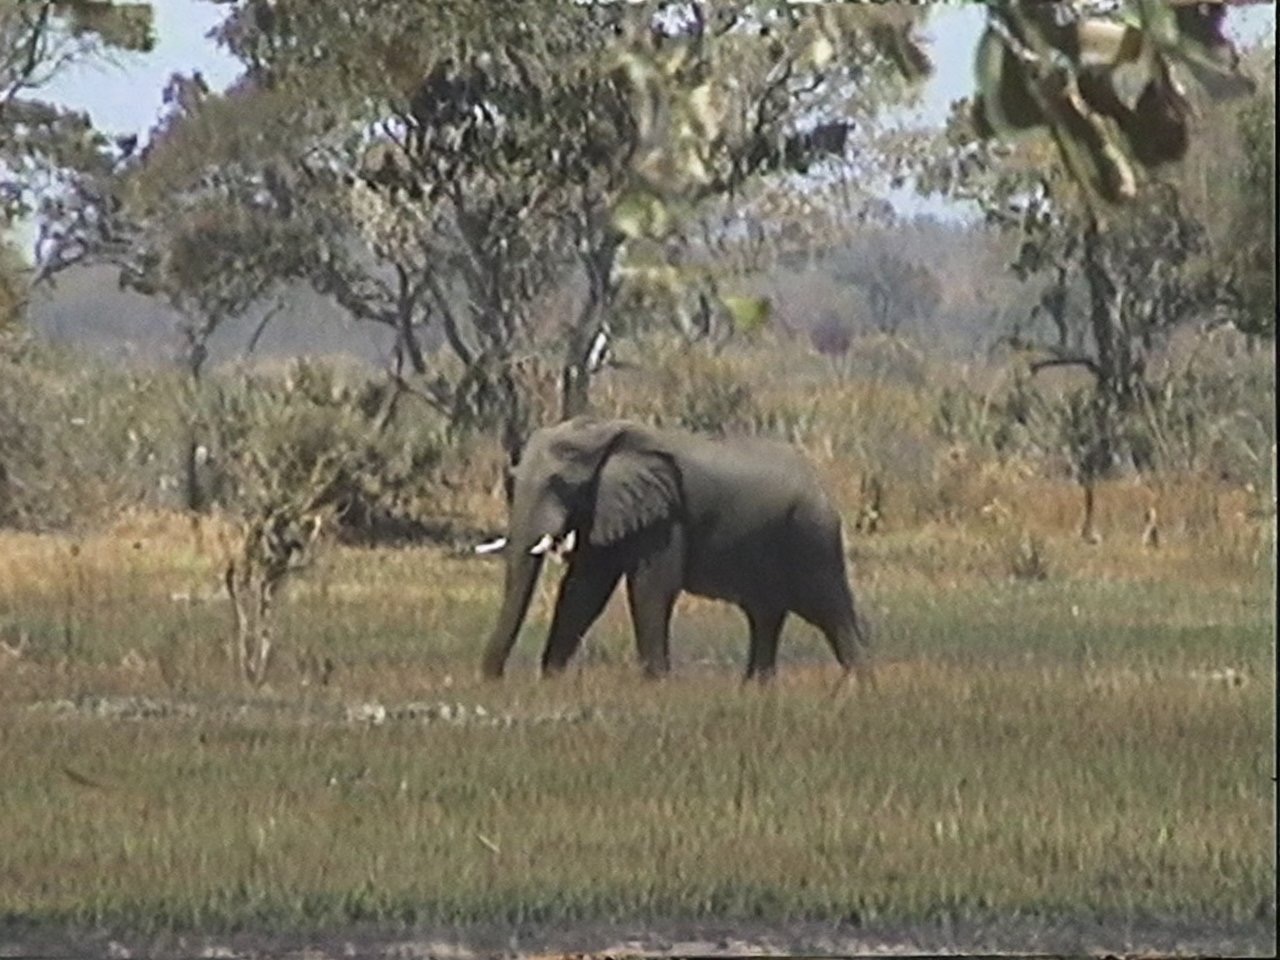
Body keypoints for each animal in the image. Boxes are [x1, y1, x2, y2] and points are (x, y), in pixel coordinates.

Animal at [479, 416, 874, 685]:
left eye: (558, 484)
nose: (493, 679)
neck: (604, 433)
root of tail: (822, 485)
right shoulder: (608, 508)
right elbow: (583, 589)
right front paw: (552, 680)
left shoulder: (666, 514)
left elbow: (650, 588)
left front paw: (655, 685)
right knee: (765, 615)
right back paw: (755, 689)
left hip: (812, 536)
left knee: (830, 610)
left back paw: (859, 686)